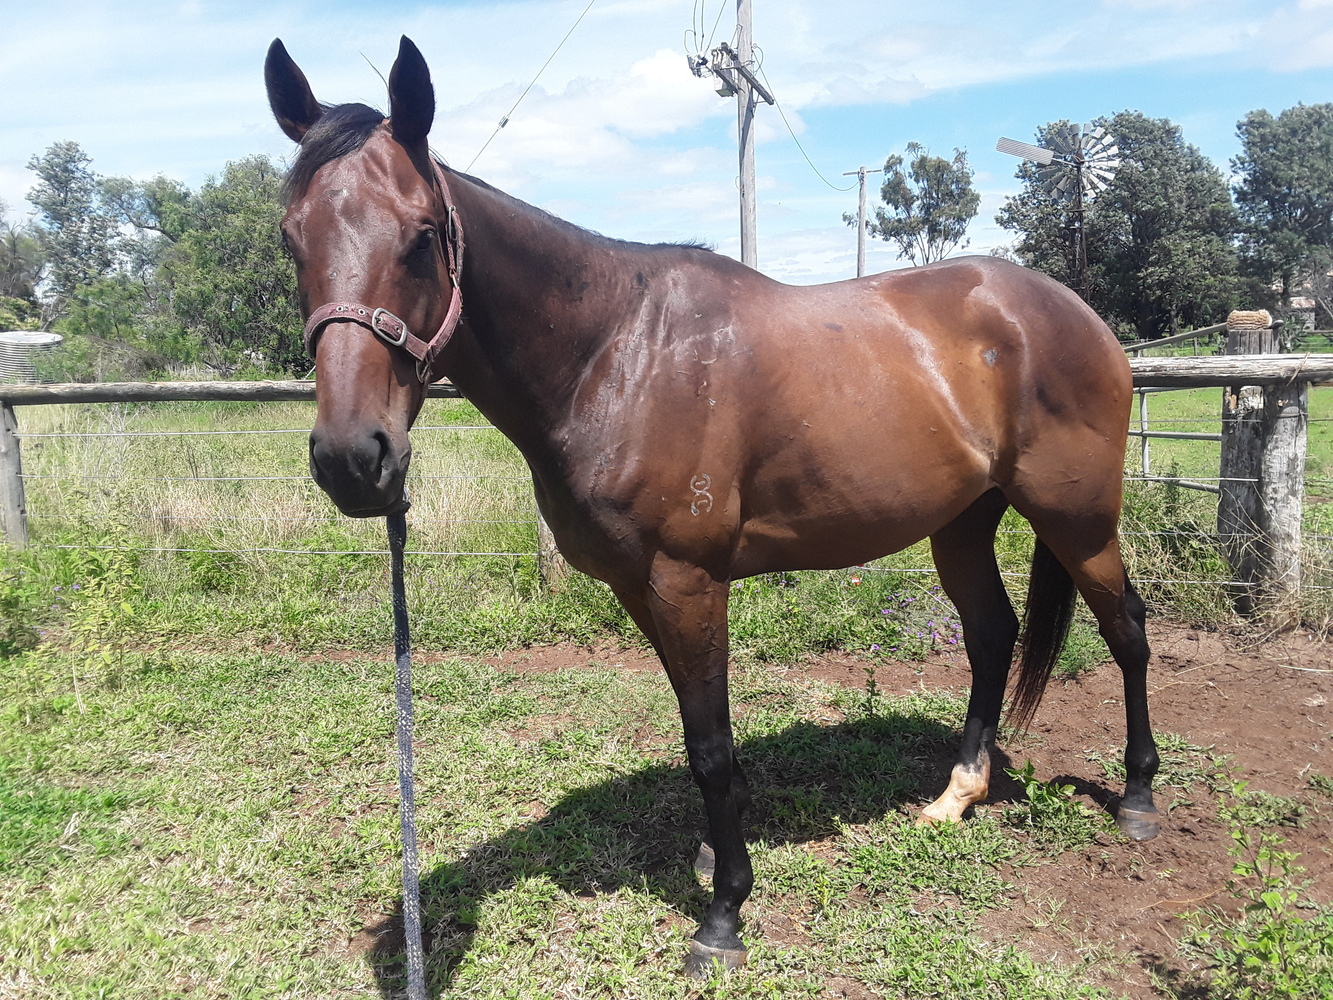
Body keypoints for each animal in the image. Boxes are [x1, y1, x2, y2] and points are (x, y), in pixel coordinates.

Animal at [265, 36, 1161, 977]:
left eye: (422, 236)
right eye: (293, 239)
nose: (352, 459)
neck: (613, 353)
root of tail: (1074, 314)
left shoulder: (688, 582)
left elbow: (710, 745)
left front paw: (723, 913)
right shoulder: (640, 587)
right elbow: (703, 734)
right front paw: (713, 856)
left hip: (1076, 519)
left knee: (1125, 629)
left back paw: (1137, 795)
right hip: (961, 521)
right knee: (991, 635)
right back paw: (959, 793)